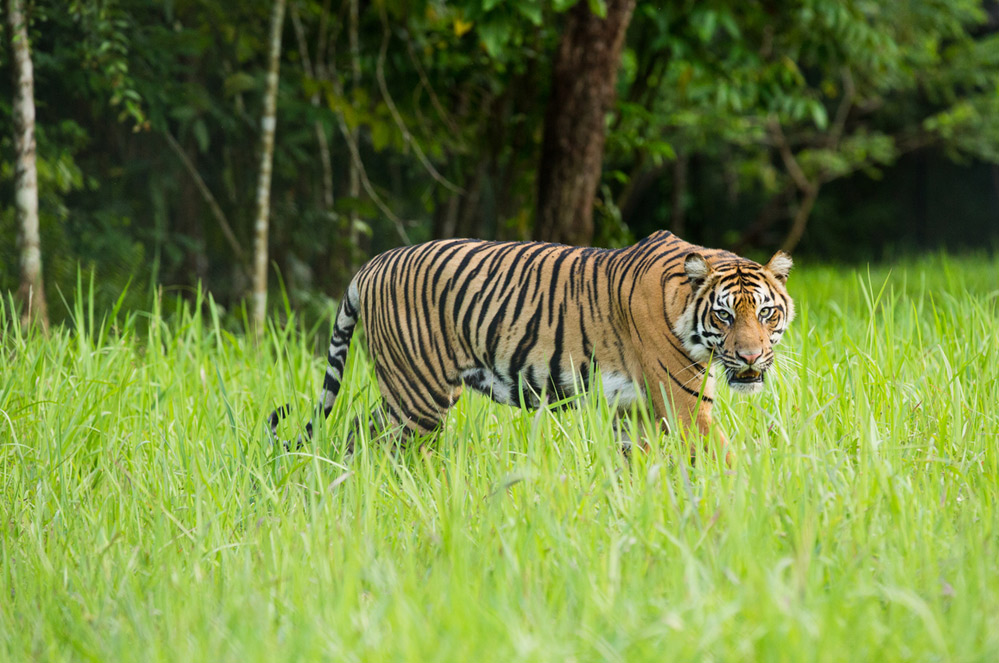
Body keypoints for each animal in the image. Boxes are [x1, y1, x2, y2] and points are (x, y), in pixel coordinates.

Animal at [268, 231, 796, 464]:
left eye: (766, 314)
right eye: (724, 316)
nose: (750, 358)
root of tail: (371, 264)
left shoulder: (634, 410)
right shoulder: (683, 404)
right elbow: (728, 461)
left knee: (360, 433)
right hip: (416, 394)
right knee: (371, 440)